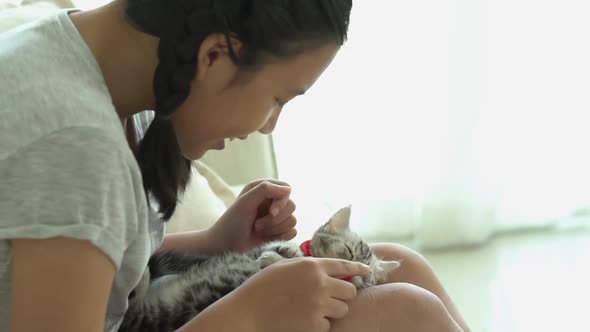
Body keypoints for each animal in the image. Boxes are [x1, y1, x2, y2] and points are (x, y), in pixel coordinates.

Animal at [121, 205, 402, 332]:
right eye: (349, 253)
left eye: (366, 277)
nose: (355, 273)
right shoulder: (254, 251)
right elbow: (280, 251)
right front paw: (287, 251)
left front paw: (279, 257)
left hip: (156, 316)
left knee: (132, 307)